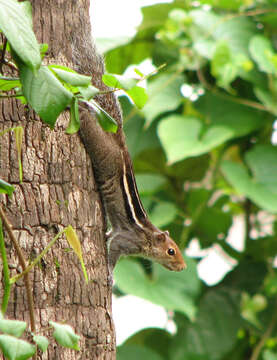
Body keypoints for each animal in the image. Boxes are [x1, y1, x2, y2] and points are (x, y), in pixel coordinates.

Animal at [77, 45, 185, 276]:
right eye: (171, 251)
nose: (183, 267)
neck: (148, 236)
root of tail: (120, 144)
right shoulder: (127, 240)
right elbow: (114, 251)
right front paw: (109, 273)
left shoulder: (121, 234)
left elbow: (111, 234)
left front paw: (106, 234)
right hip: (101, 149)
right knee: (87, 121)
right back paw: (81, 104)